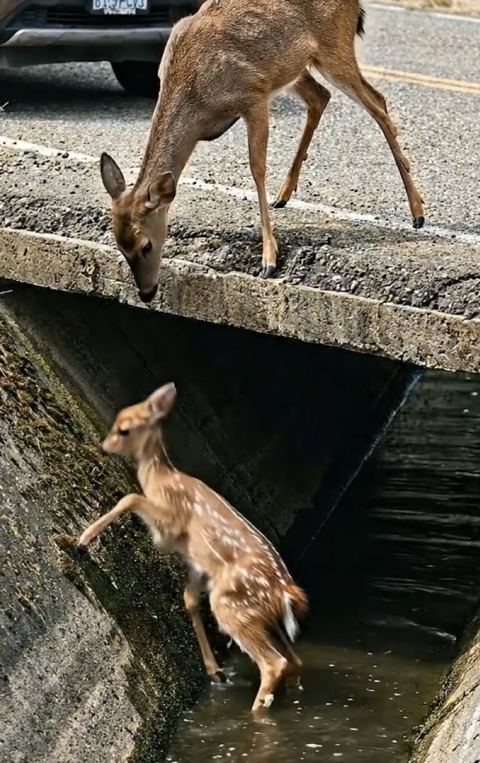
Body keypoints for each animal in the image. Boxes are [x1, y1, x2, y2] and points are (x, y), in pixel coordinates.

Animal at [76, 382, 308, 714]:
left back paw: (254, 710)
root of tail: (285, 592)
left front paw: (82, 540)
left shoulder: (170, 526)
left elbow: (130, 497)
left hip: (232, 606)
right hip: (263, 618)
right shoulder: (197, 565)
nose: (105, 446)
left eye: (124, 428)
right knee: (295, 662)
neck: (160, 478)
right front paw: (214, 671)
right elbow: (188, 600)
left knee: (274, 663)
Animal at [99, 0, 425, 304]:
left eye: (146, 245)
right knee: (321, 97)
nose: (146, 293)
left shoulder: (254, 96)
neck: (196, 97)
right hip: (295, 67)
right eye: (119, 245)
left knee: (378, 102)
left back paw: (418, 212)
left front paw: (268, 259)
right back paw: (285, 194)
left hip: (334, 47)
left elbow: (256, 168)